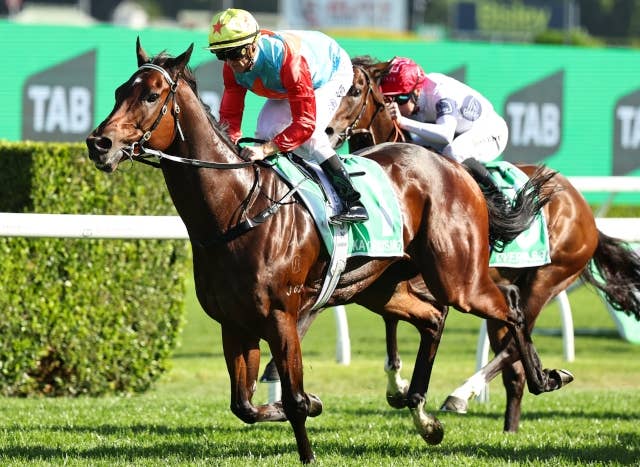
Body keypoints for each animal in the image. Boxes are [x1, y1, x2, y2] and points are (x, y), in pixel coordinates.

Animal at [86, 40, 571, 463]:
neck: (235, 210)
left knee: (510, 307)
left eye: (151, 95)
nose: (99, 143)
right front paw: (312, 402)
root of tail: (454, 168)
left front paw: (308, 443)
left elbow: (294, 399)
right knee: (434, 318)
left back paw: (544, 378)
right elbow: (245, 405)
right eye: (119, 92)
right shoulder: (234, 323)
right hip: (380, 288)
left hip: (457, 277)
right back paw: (424, 415)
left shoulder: (281, 316)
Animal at [325, 55, 640, 432]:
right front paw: (395, 385)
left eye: (355, 89)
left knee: (515, 335)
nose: (327, 131)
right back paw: (509, 425)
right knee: (513, 357)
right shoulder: (390, 274)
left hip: (547, 279)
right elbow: (390, 323)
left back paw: (462, 394)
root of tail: (584, 211)